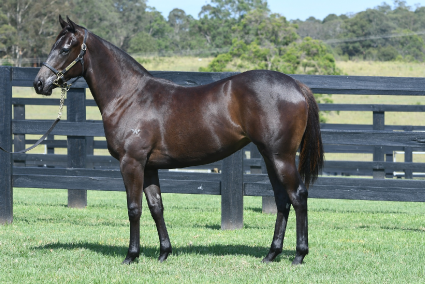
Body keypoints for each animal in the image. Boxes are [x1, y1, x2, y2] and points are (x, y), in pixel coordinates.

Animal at [34, 16, 322, 266]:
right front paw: (164, 252)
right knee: (282, 200)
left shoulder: (131, 163)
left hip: (280, 157)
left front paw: (131, 256)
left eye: (65, 48)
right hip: (270, 157)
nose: (39, 83)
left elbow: (134, 208)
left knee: (298, 196)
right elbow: (156, 207)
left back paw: (299, 255)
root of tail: (296, 85)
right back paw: (271, 254)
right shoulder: (149, 166)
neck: (129, 96)